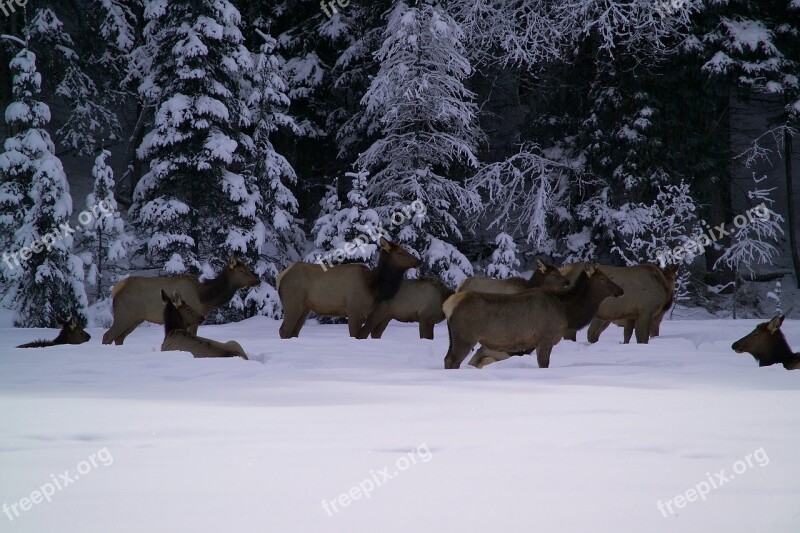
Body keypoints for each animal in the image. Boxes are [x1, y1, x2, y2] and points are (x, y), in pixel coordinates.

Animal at [101, 255, 256, 344]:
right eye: (241, 271)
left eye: (248, 268)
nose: (257, 280)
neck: (205, 299)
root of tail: (116, 290)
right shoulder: (192, 319)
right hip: (124, 314)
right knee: (107, 336)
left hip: (136, 319)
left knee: (119, 338)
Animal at [278, 237, 422, 336]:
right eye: (400, 253)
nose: (419, 261)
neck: (373, 287)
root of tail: (280, 277)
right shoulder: (354, 309)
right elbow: (354, 335)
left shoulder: (363, 313)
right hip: (293, 303)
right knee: (284, 330)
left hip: (305, 308)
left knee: (294, 331)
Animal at [444, 264, 624, 370]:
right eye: (603, 279)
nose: (621, 290)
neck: (567, 312)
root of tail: (448, 305)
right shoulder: (546, 336)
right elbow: (544, 364)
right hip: (465, 337)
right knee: (452, 361)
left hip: (454, 337)